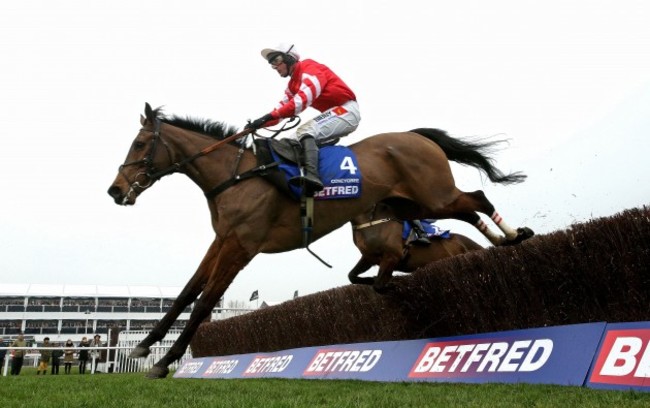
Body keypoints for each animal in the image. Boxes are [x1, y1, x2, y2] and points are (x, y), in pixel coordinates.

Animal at [350, 202, 480, 292]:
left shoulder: (392, 256)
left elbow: (378, 285)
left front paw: (393, 285)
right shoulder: (369, 258)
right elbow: (352, 276)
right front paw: (370, 279)